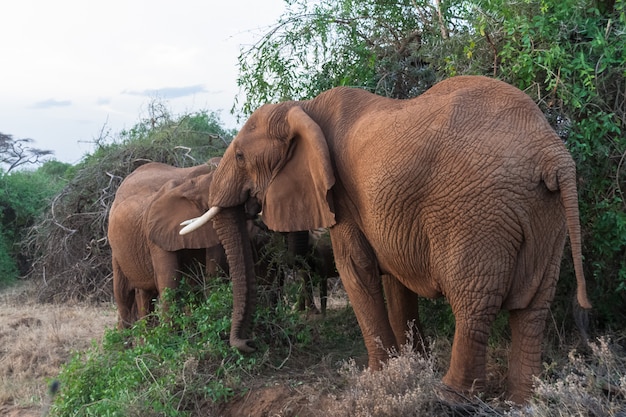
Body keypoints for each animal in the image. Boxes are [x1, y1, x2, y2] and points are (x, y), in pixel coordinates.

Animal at [108, 158, 258, 352]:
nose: (249, 343)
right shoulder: (155, 236)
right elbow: (170, 283)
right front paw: (170, 345)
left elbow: (207, 274)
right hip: (116, 252)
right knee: (124, 297)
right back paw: (123, 351)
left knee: (145, 297)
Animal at [179, 75, 588, 404]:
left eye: (241, 156)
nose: (248, 345)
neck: (301, 108)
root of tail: (552, 153)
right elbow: (394, 278)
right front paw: (412, 363)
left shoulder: (341, 196)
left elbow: (356, 270)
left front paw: (379, 377)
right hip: (545, 214)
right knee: (533, 307)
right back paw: (525, 400)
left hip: (479, 214)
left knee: (474, 305)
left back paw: (450, 396)